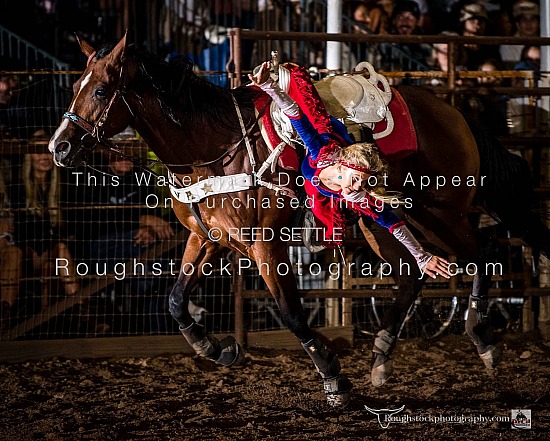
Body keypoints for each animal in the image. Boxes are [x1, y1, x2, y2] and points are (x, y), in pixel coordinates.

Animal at [49, 35, 548, 406]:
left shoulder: (266, 243)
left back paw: (481, 337)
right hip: (382, 218)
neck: (215, 148)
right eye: (74, 87)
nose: (59, 146)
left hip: (443, 209)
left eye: (99, 90)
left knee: (479, 253)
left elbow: (290, 312)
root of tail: (453, 111)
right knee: (414, 275)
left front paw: (333, 378)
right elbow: (174, 301)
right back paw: (381, 358)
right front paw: (218, 349)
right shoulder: (206, 237)